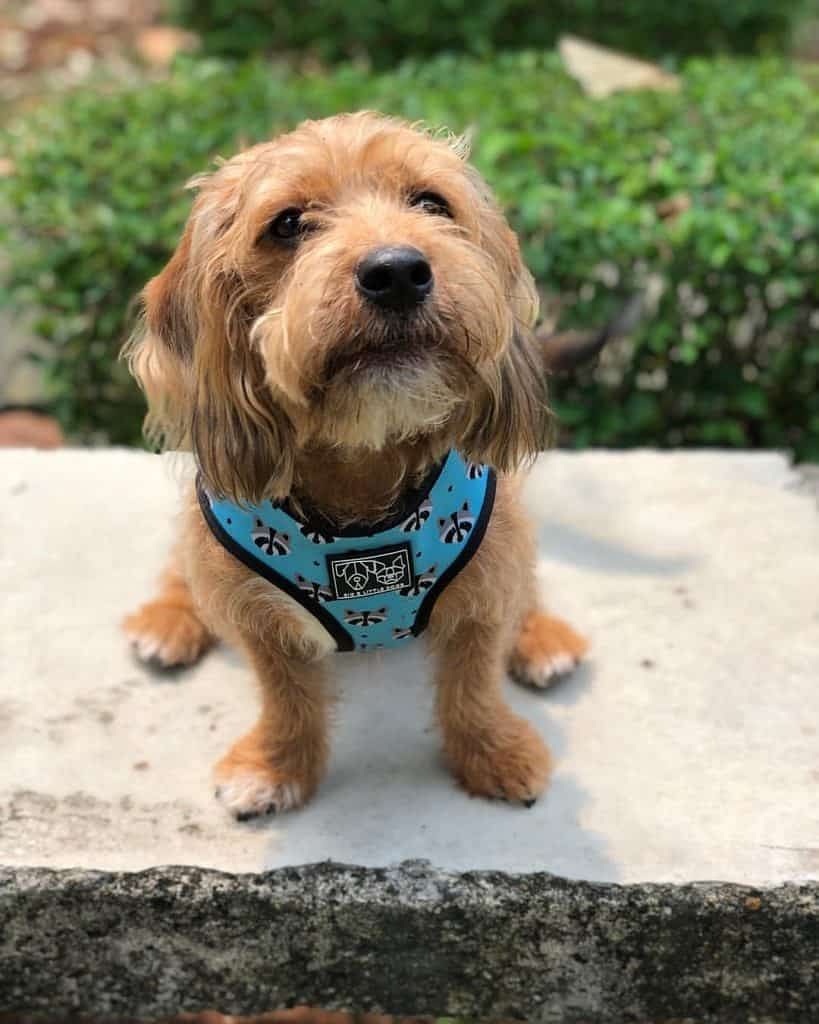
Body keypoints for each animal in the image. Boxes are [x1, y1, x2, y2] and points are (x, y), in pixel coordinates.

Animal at [121, 112, 589, 819]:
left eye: (431, 203)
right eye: (288, 223)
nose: (397, 272)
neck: (364, 469)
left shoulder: (486, 585)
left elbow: (474, 684)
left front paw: (494, 753)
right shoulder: (257, 618)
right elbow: (286, 699)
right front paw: (275, 767)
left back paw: (543, 636)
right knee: (181, 570)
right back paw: (168, 619)